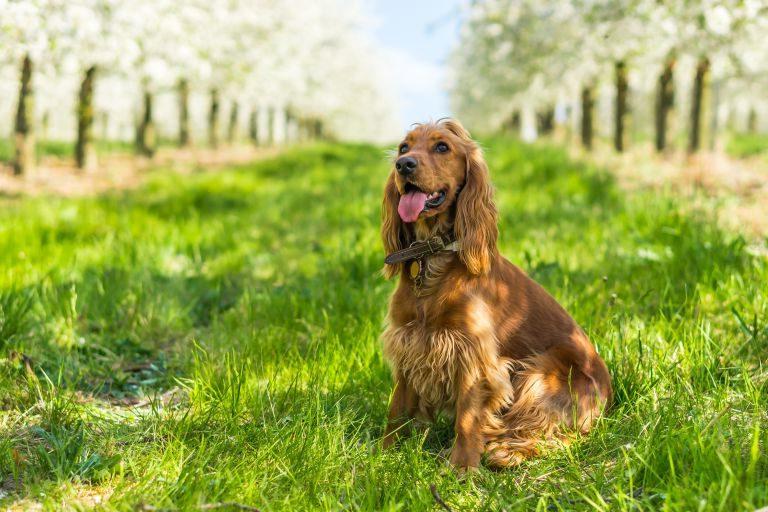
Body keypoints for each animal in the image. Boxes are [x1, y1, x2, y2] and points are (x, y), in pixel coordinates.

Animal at [380, 119, 612, 472]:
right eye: (404, 147)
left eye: (442, 147)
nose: (403, 165)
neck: (433, 259)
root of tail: (610, 396)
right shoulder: (408, 343)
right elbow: (397, 408)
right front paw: (381, 454)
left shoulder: (471, 354)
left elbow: (467, 418)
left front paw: (461, 469)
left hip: (542, 373)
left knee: (558, 436)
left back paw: (505, 453)